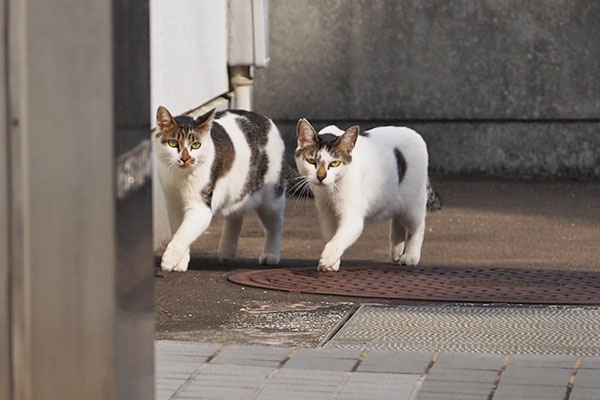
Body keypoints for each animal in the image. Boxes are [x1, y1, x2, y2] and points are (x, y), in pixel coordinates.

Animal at [155, 105, 286, 272]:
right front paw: (180, 262)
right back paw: (227, 250)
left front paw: (169, 260)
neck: (180, 176)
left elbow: (184, 233)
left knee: (275, 226)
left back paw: (271, 254)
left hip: (271, 199)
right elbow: (178, 230)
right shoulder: (173, 204)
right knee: (236, 214)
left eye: (196, 145)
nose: (185, 158)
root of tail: (266, 119)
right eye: (173, 143)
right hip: (238, 188)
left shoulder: (201, 208)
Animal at [296, 119, 432, 272]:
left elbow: (340, 237)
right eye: (311, 161)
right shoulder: (326, 213)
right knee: (398, 218)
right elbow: (330, 235)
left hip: (412, 206)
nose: (321, 177)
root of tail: (414, 133)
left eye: (335, 163)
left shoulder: (353, 218)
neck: (330, 190)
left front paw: (328, 257)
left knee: (418, 226)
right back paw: (397, 251)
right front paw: (333, 262)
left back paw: (410, 256)